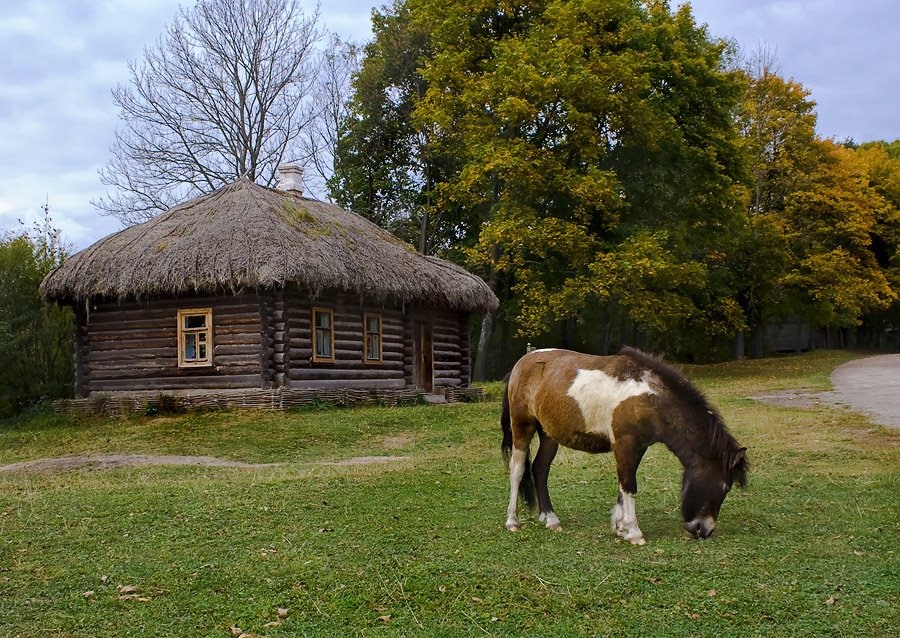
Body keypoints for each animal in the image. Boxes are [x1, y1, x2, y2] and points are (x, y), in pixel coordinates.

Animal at [502, 348, 748, 548]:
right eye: (725, 486)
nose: (704, 529)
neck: (649, 397)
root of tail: (521, 363)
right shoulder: (625, 443)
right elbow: (629, 485)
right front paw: (633, 532)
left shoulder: (637, 448)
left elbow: (624, 484)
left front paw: (621, 527)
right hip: (522, 426)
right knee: (517, 469)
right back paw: (512, 521)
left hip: (549, 434)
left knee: (540, 469)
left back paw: (550, 518)